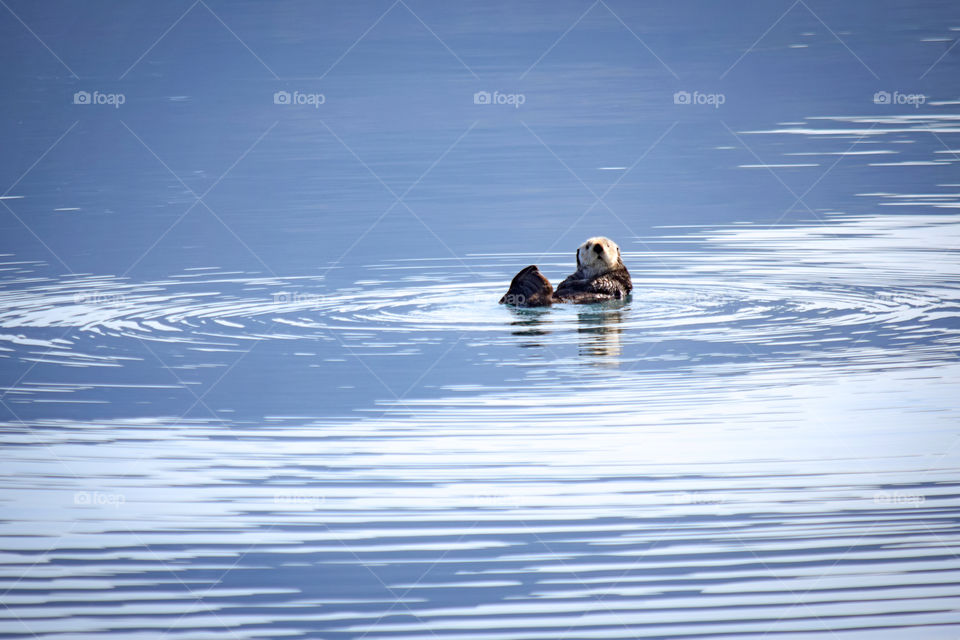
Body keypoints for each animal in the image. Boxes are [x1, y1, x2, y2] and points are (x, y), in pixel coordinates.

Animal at [499, 237, 632, 307]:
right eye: (588, 246)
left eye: (608, 245)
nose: (598, 247)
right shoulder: (576, 275)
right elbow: (568, 280)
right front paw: (565, 284)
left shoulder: (619, 276)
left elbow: (602, 283)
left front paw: (575, 284)